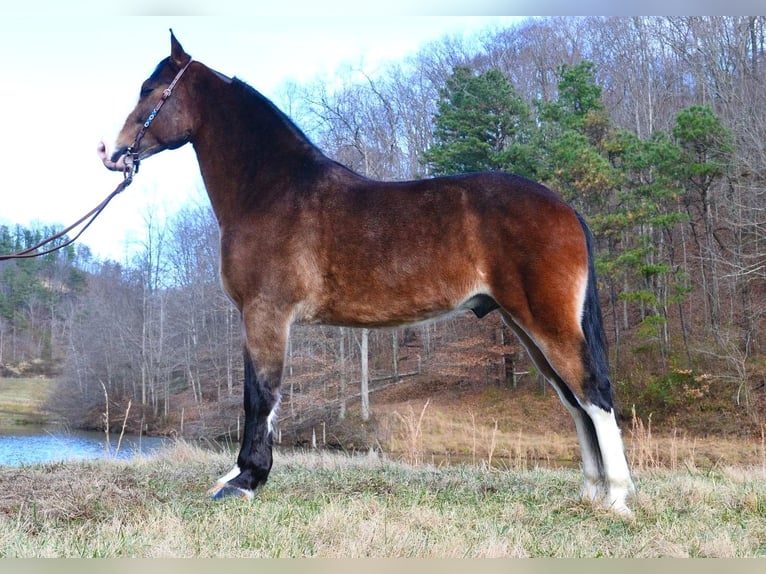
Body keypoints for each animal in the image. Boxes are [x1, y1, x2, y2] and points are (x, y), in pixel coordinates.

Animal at [99, 31, 636, 516]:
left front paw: (246, 481)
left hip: (547, 323)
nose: (113, 152)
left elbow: (260, 397)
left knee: (593, 393)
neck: (272, 190)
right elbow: (258, 395)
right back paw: (591, 492)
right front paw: (238, 475)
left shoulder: (265, 313)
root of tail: (565, 208)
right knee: (573, 400)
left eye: (151, 90)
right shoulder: (258, 318)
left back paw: (616, 498)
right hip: (526, 327)